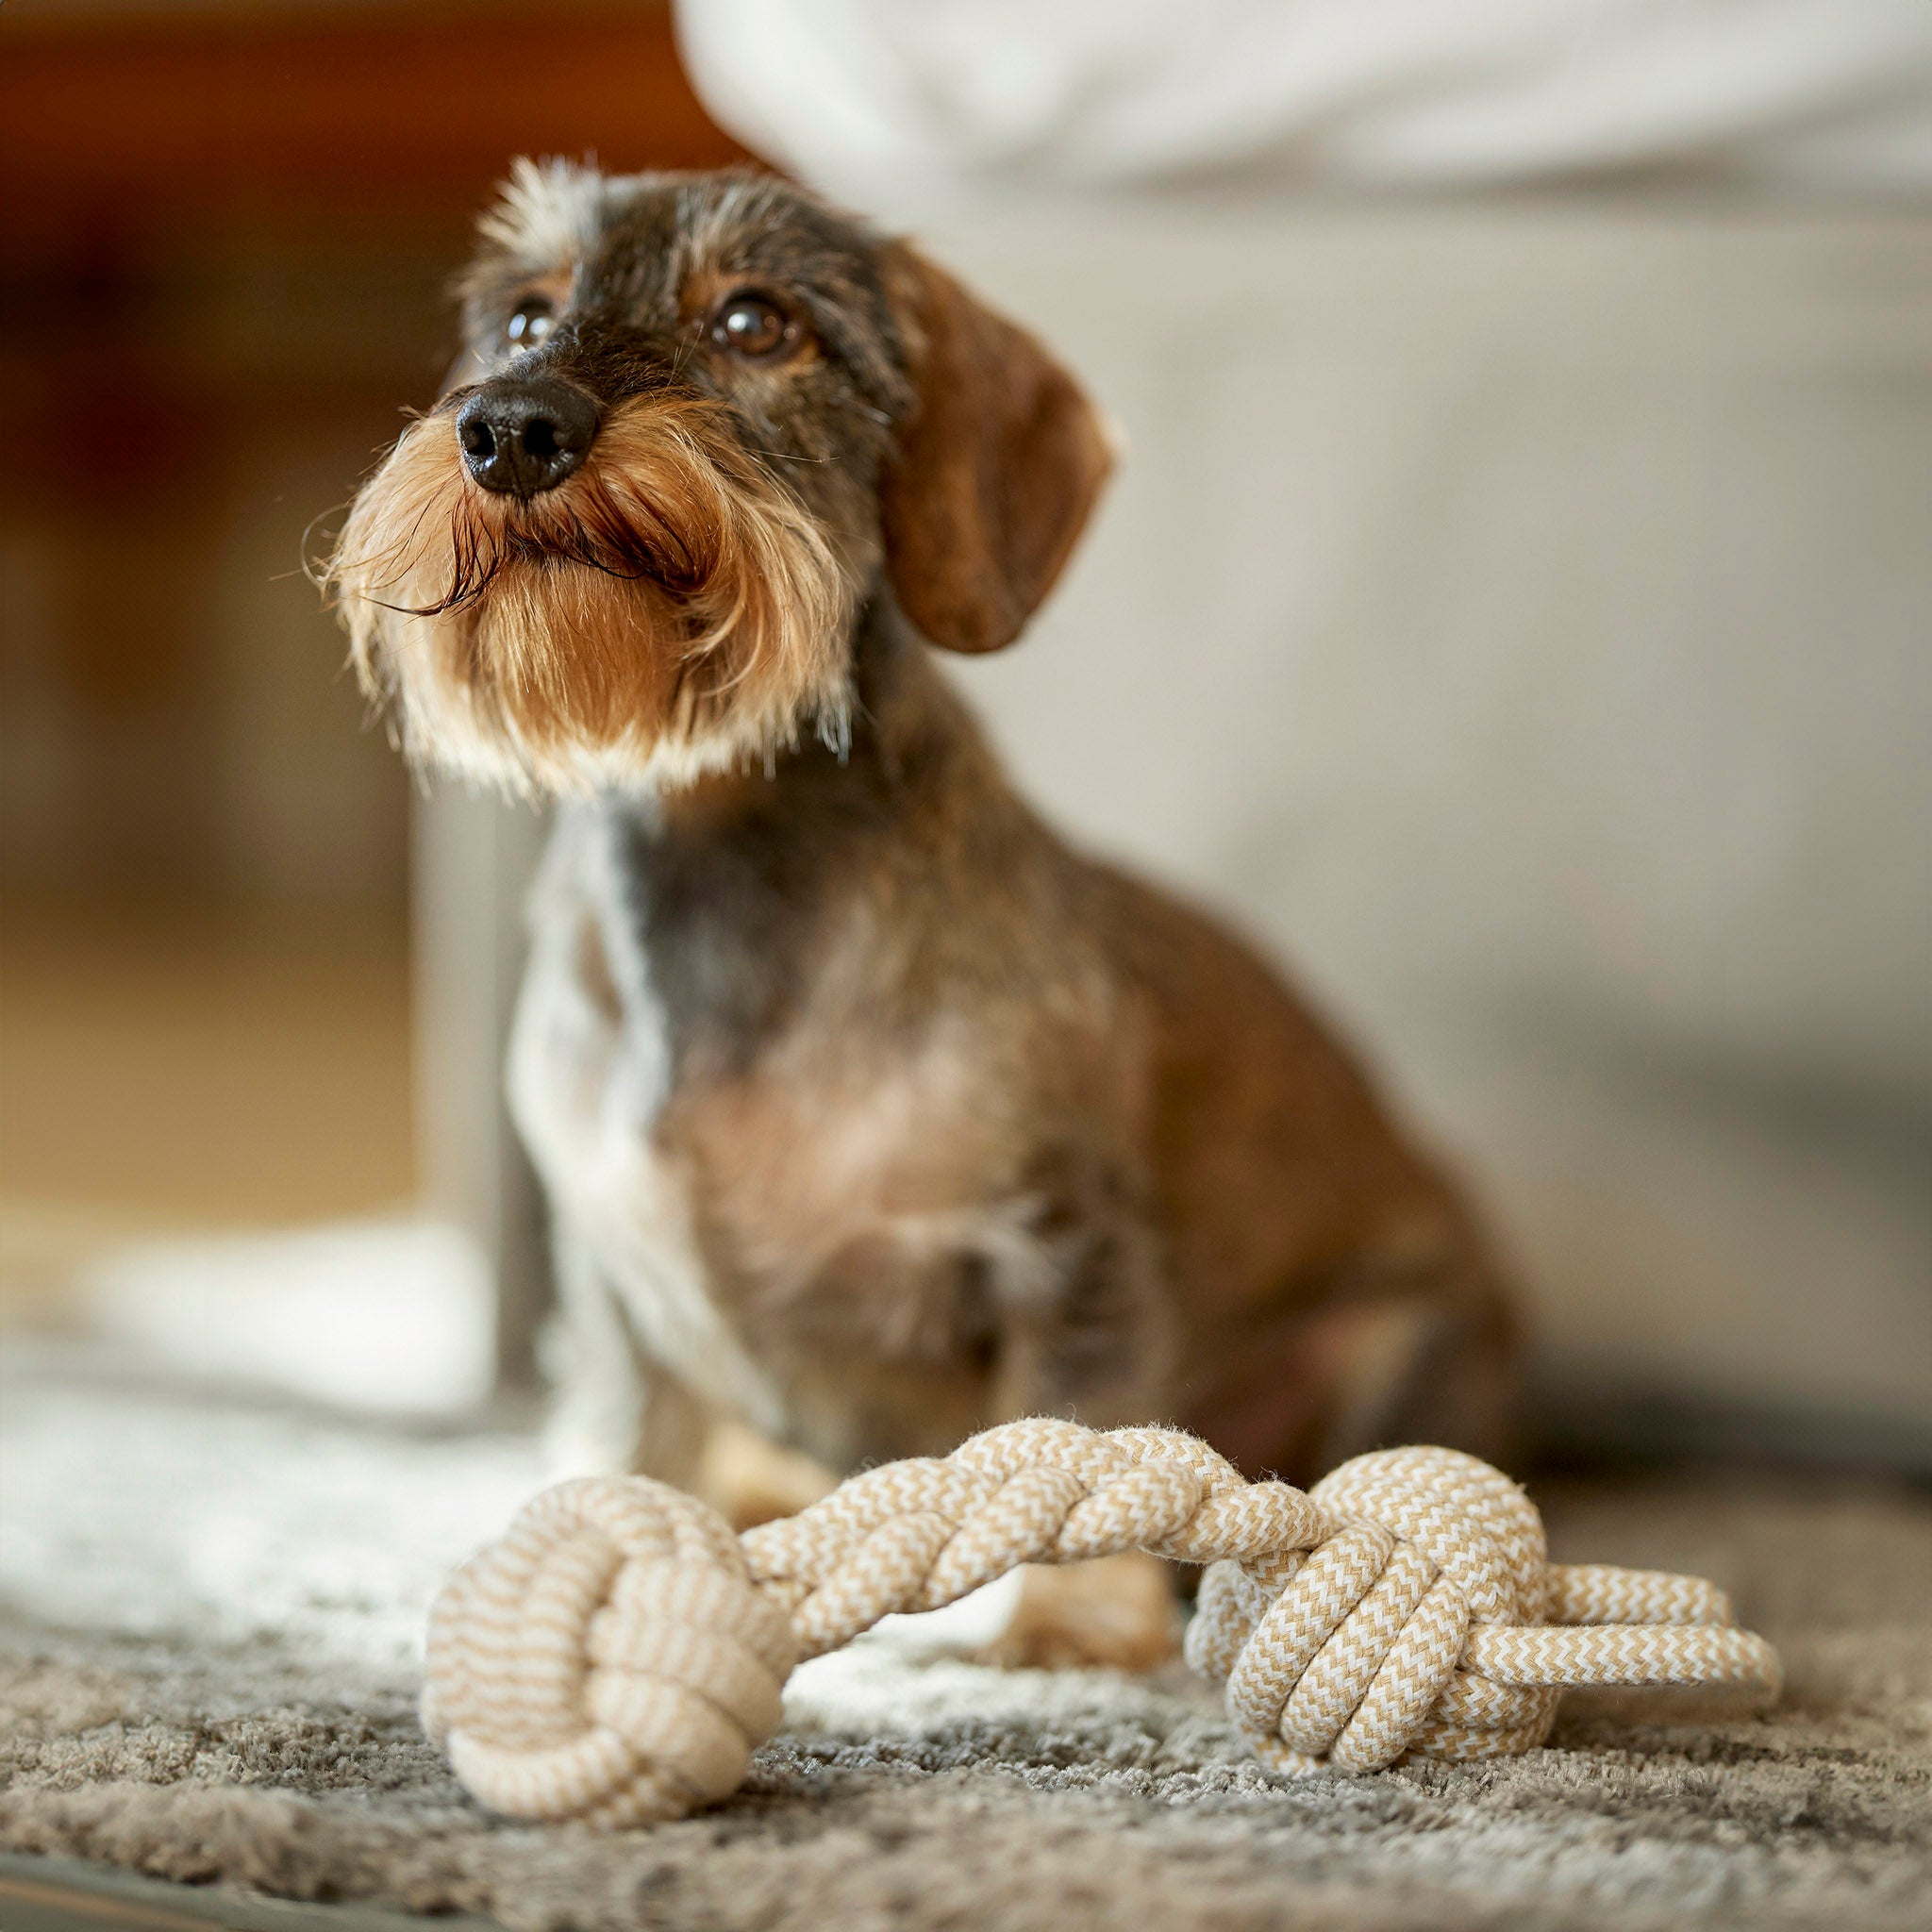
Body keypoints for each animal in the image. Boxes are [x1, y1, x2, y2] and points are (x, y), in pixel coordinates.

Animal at [325, 162, 1514, 1661]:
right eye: (526, 315)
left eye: (757, 319)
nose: (510, 430)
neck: (718, 841)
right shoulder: (617, 1290)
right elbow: (638, 1435)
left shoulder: (1064, 1246)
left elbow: (1080, 1426)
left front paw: (1073, 1619)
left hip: (1394, 1348)